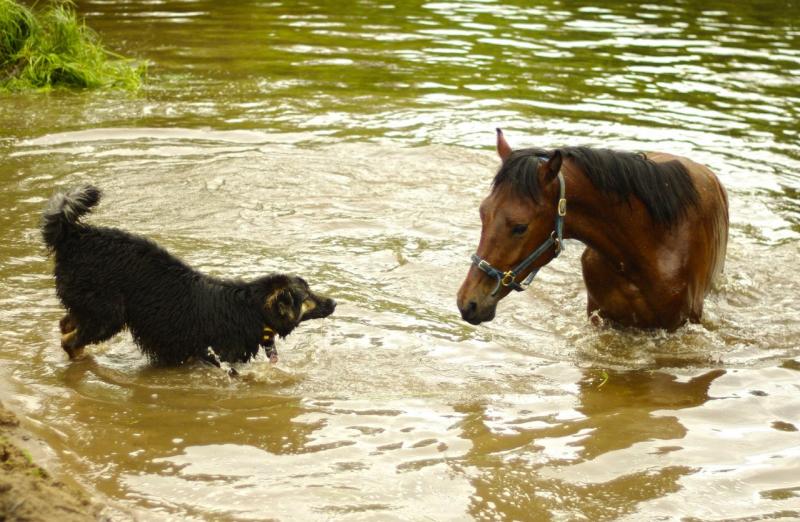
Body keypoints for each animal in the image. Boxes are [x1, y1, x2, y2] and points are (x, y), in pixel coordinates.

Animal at [41, 185, 335, 370]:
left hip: (90, 305)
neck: (251, 308)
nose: (334, 302)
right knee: (70, 340)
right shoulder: (214, 354)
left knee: (66, 323)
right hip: (108, 313)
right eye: (307, 297)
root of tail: (73, 236)